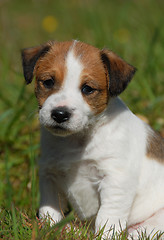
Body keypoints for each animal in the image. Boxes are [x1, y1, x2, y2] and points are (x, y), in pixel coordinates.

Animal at [21, 39, 164, 238]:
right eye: (48, 82)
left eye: (87, 89)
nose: (59, 114)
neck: (77, 140)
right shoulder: (49, 175)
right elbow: (50, 210)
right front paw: (50, 230)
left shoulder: (115, 180)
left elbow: (107, 216)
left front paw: (105, 236)